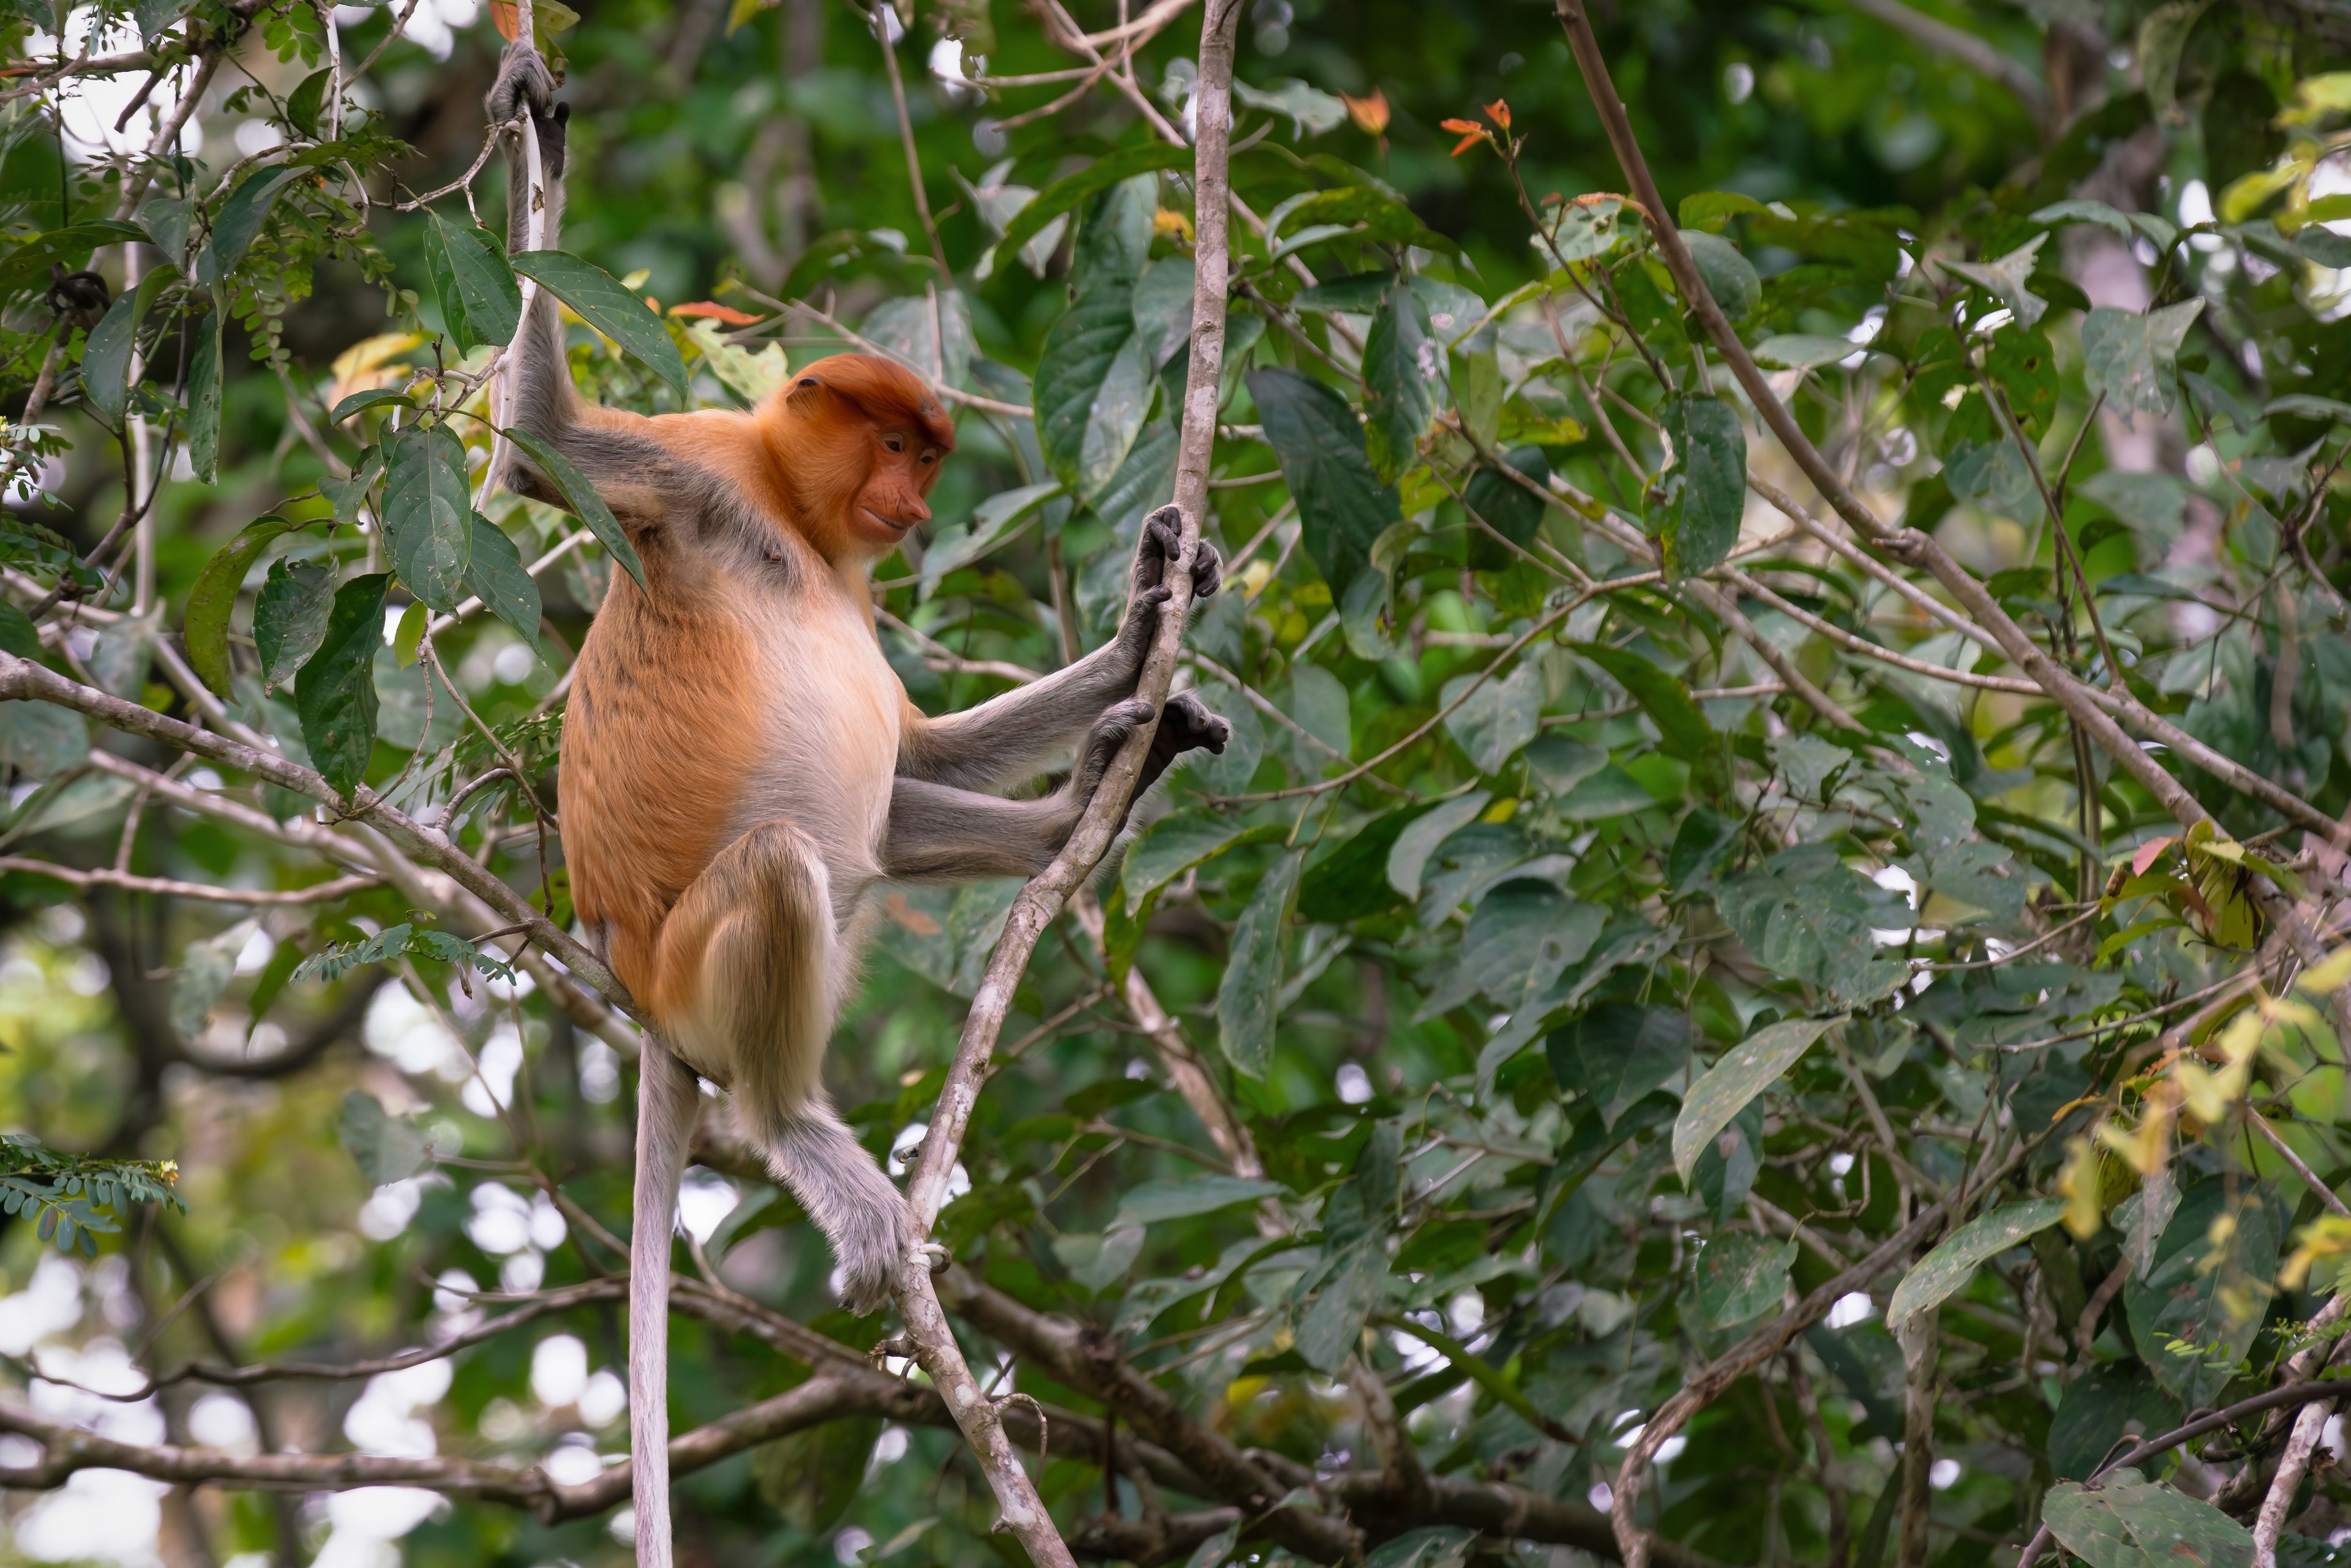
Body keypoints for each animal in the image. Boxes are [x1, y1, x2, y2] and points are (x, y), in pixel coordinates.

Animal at [482, 42, 1227, 1565]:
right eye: (890, 438)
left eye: (927, 454)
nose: (909, 500)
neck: (792, 517)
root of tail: (625, 975)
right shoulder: (696, 462)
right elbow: (540, 448)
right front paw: (537, 128)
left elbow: (919, 743)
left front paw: (1151, 609)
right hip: (697, 961)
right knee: (790, 863)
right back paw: (806, 1140)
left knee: (879, 830)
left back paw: (1098, 796)